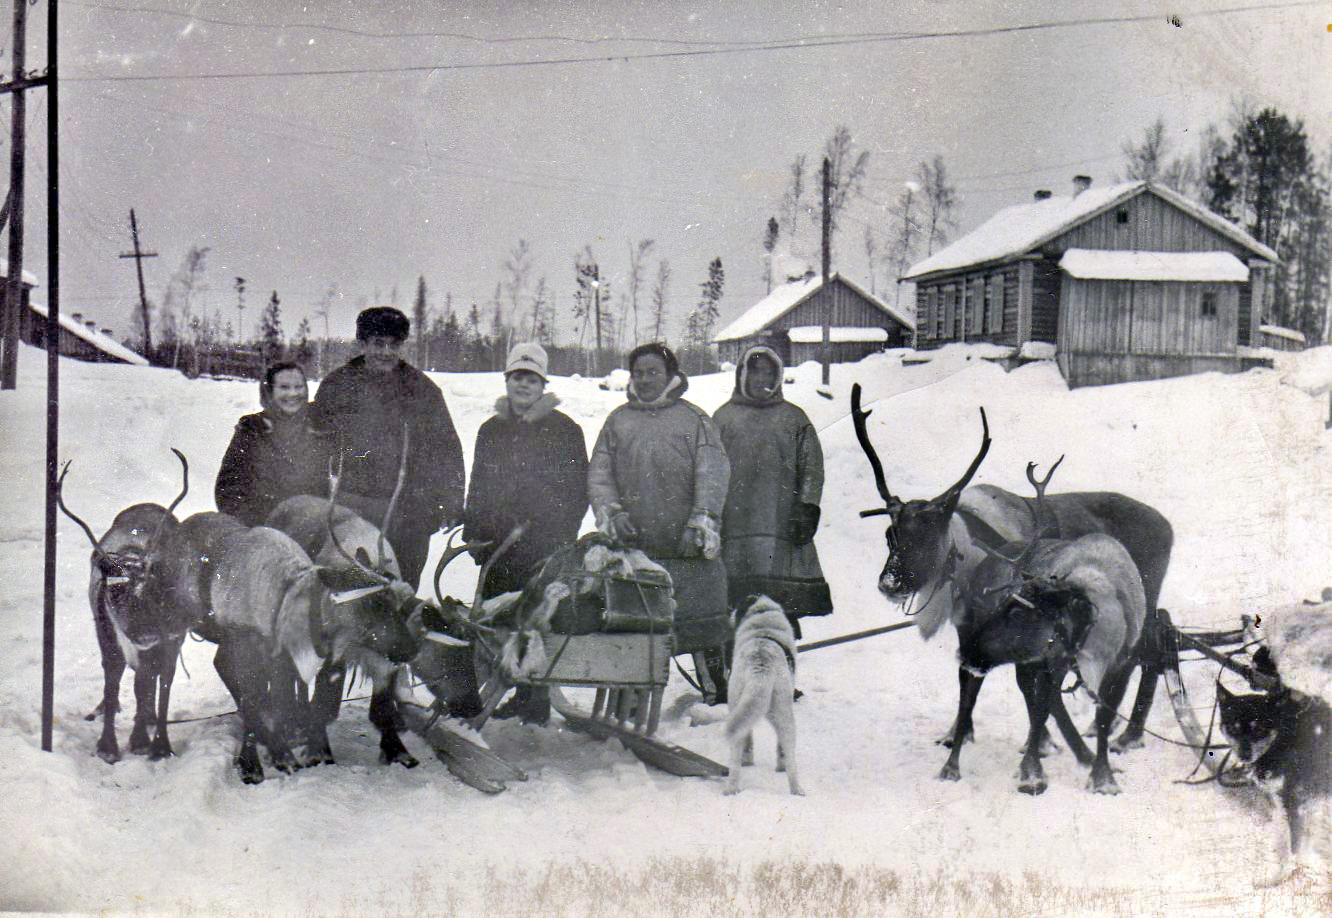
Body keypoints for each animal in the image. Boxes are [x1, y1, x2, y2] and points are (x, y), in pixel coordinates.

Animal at [729, 594, 799, 794]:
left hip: (737, 708)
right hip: (785, 715)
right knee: (789, 758)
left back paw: (731, 790)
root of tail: (760, 664)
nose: (730, 613)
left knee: (735, 759)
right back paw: (797, 790)